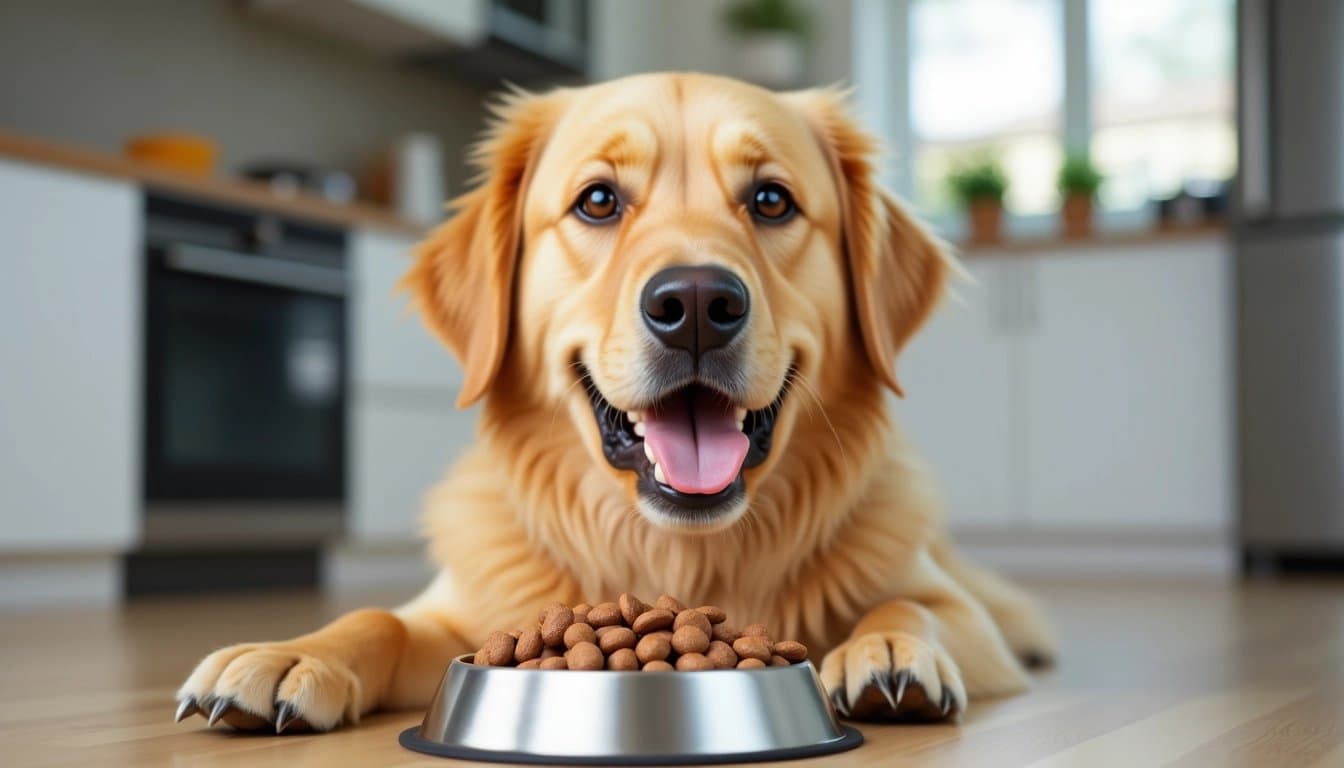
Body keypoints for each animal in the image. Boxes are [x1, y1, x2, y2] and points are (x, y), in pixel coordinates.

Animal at [173, 71, 1053, 731]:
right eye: (597, 201)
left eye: (771, 201)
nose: (696, 305)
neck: (679, 552)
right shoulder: (469, 613)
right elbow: (378, 618)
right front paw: (293, 653)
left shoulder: (954, 611)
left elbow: (913, 605)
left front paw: (890, 649)